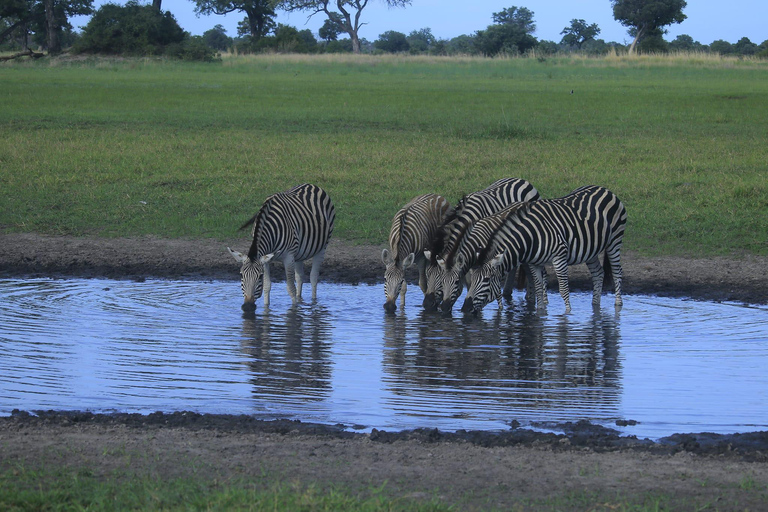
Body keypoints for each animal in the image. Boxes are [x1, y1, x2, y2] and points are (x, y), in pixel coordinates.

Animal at [228, 184, 336, 312]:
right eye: (241, 275)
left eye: (259, 276)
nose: (248, 307)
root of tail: (311, 185)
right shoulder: (266, 260)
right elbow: (267, 287)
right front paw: (267, 309)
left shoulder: (288, 257)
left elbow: (291, 288)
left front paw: (294, 310)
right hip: (298, 254)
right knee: (300, 277)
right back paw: (300, 299)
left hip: (322, 246)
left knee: (313, 277)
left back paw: (313, 303)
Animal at [464, 184, 628, 312]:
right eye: (472, 279)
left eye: (486, 280)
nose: (465, 308)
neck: (530, 237)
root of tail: (605, 189)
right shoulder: (534, 263)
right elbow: (538, 287)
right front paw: (541, 312)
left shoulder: (559, 257)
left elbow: (563, 290)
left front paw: (567, 313)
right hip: (591, 250)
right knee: (598, 273)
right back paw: (595, 304)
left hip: (614, 241)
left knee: (617, 271)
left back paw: (618, 304)